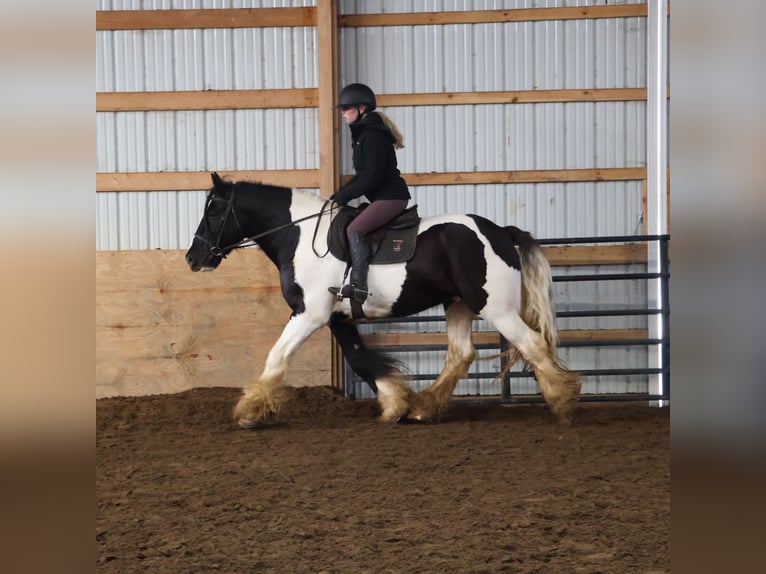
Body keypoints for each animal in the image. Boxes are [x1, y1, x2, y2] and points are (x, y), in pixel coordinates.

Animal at [185, 172, 581, 427]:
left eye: (214, 211)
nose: (193, 258)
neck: (298, 235)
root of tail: (500, 231)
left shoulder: (309, 314)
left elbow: (277, 355)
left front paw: (250, 409)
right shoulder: (337, 317)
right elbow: (361, 359)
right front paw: (394, 403)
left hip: (496, 308)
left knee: (532, 343)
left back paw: (563, 401)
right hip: (458, 304)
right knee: (461, 353)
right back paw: (425, 407)